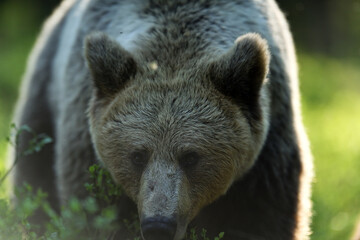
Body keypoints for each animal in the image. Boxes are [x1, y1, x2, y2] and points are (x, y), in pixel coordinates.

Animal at [11, 0, 312, 240]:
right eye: (137, 155)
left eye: (191, 157)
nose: (159, 226)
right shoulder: (83, 138)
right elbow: (94, 207)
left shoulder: (267, 156)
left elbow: (259, 219)